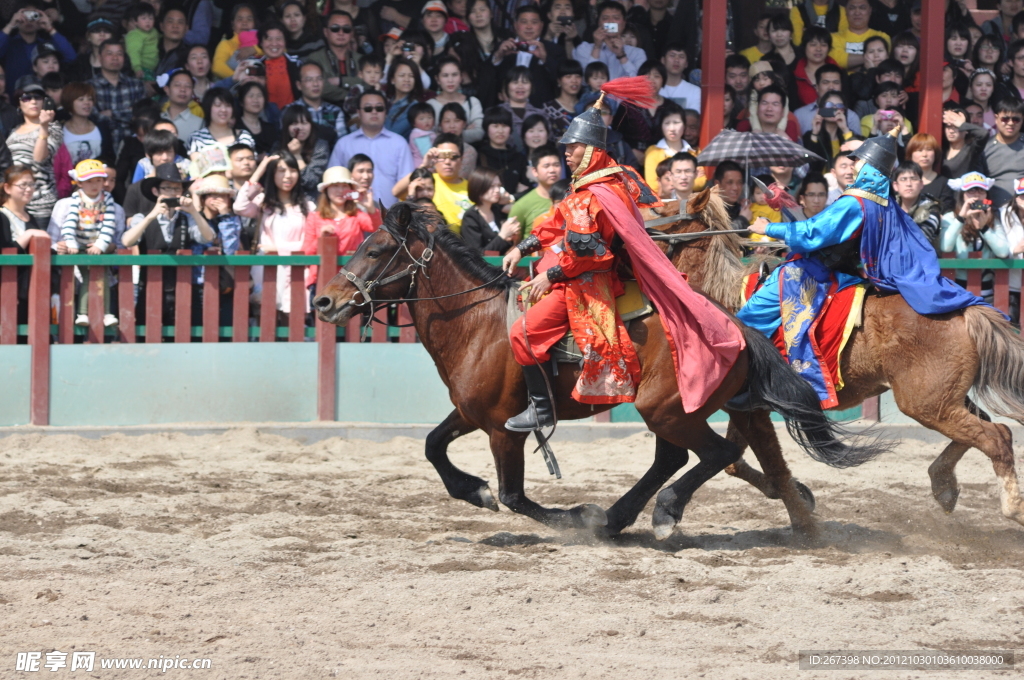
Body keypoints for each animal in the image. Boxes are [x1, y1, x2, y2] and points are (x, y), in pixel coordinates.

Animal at [313, 199, 888, 540]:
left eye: (377, 249)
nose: (323, 300)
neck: (478, 324)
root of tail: (735, 326)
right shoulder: (471, 414)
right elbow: (433, 448)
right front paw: (472, 490)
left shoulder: (504, 429)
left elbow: (515, 496)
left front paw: (570, 515)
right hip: (679, 410)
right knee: (686, 457)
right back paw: (623, 516)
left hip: (665, 409)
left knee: (710, 455)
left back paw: (660, 514)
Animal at [647, 187, 1024, 532]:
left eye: (661, 210)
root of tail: (966, 311)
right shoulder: (748, 407)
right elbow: (737, 463)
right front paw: (799, 494)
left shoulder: (749, 409)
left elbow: (760, 462)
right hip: (946, 399)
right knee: (987, 427)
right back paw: (943, 486)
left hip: (927, 404)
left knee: (996, 436)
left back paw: (1011, 508)